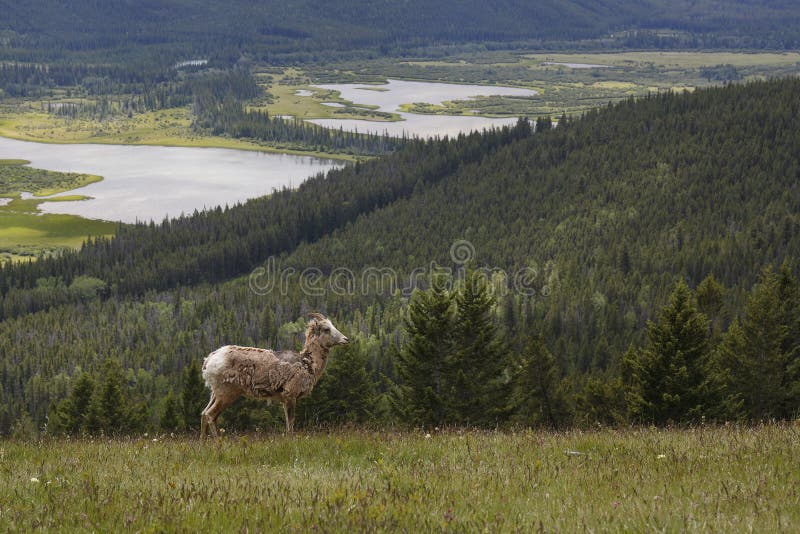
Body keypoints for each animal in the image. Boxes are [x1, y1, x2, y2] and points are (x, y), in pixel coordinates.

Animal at [200, 312, 346, 438]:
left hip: (214, 393)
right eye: (326, 329)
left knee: (203, 414)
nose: (346, 339)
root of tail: (209, 360)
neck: (308, 364)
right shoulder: (290, 395)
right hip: (226, 393)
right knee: (210, 415)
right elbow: (290, 423)